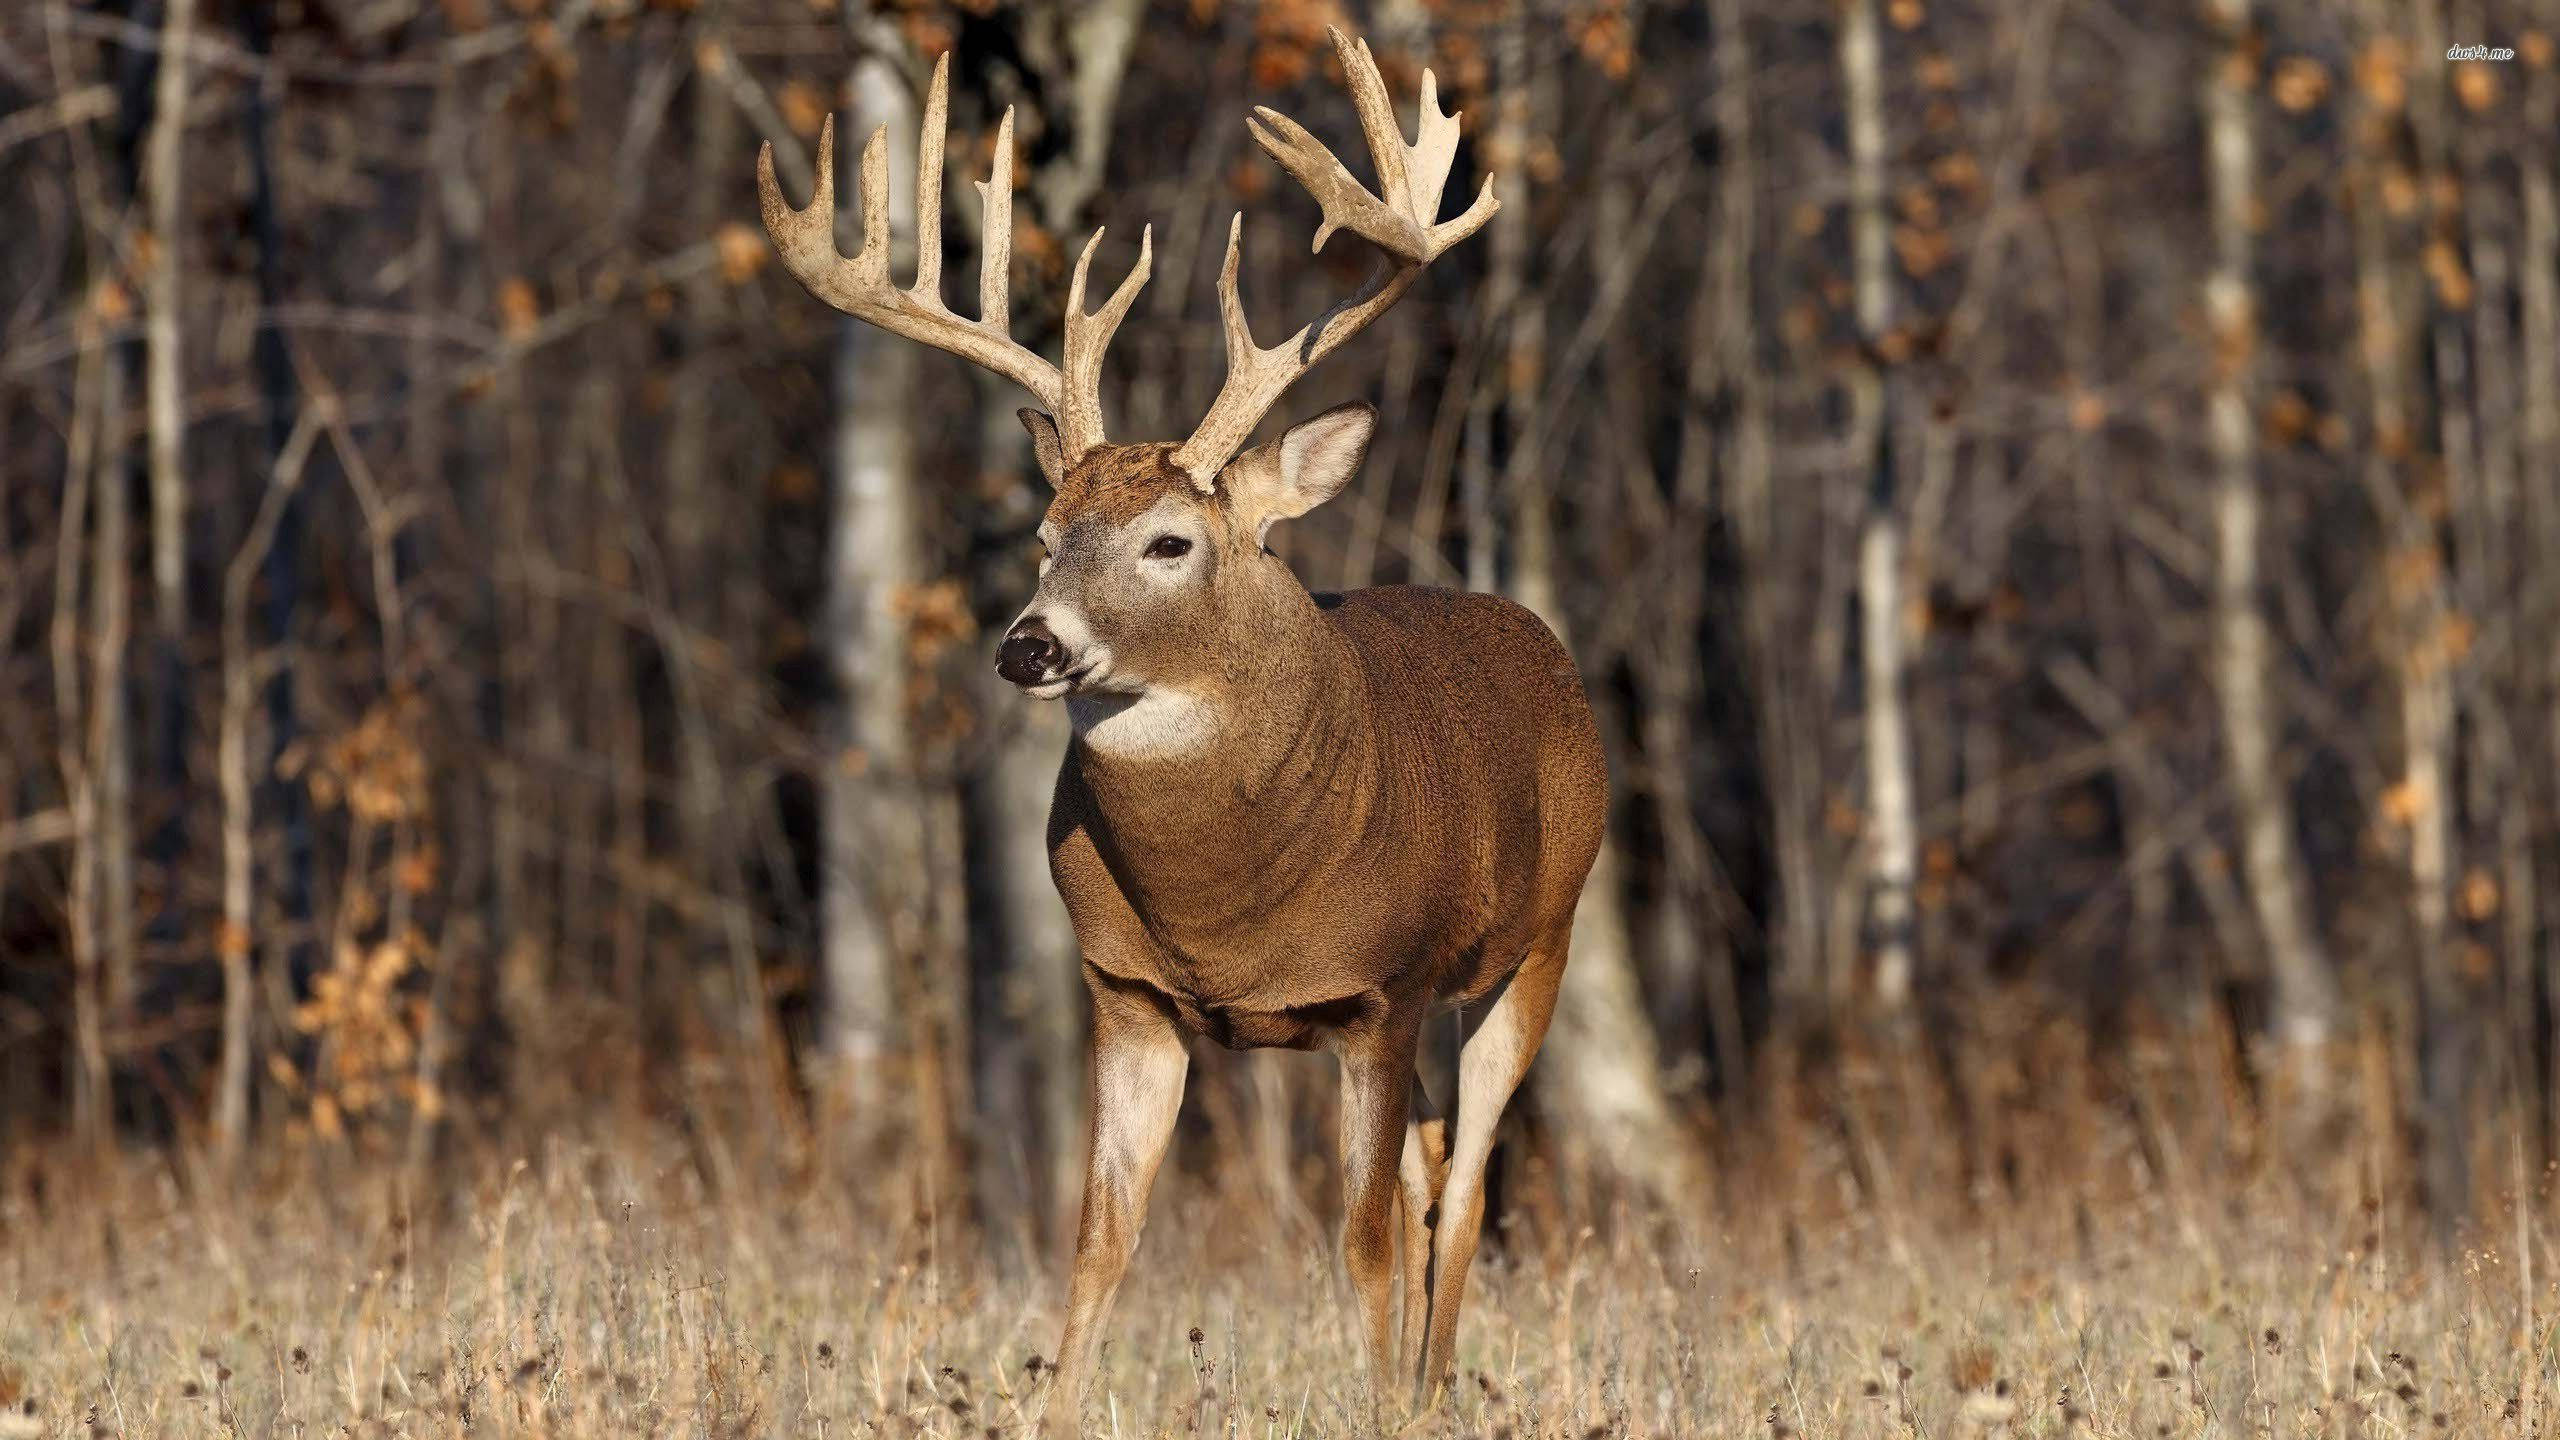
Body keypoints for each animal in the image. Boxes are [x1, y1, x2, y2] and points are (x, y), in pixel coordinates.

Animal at [757, 27, 1607, 1431]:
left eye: (1170, 543)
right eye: (1045, 534)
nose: (1028, 646)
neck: (1227, 908)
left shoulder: (1380, 993)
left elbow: (1361, 1241)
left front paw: (1376, 1406)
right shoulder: (1126, 992)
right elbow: (1101, 1236)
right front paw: (1053, 1408)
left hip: (1535, 945)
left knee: (1469, 1181)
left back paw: (1427, 1390)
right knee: (1434, 1169)